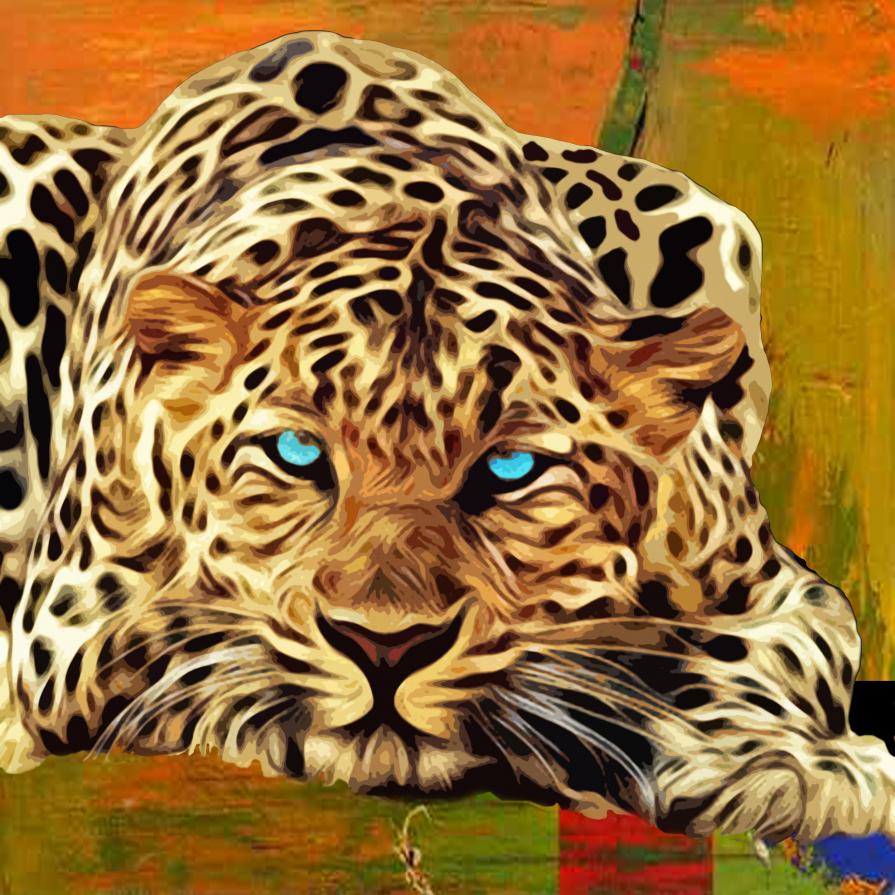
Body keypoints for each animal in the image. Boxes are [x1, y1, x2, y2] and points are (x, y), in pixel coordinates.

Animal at [0, 30, 892, 845]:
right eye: (298, 455)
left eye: (510, 467)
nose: (385, 647)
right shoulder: (71, 628)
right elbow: (216, 646)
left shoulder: (789, 595)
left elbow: (723, 653)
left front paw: (795, 765)